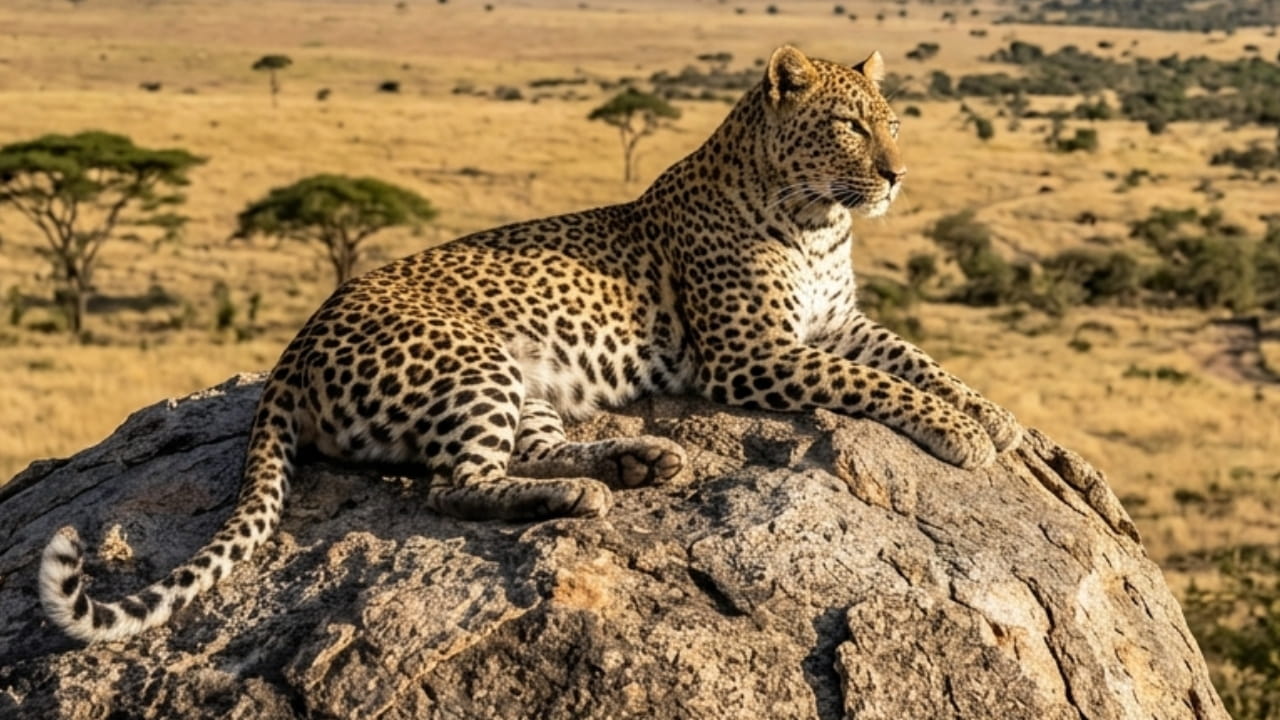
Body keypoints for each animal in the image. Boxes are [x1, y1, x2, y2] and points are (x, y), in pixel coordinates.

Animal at [39, 45, 1021, 643]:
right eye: (851, 125)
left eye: (894, 122)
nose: (898, 175)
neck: (819, 220)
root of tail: (297, 342)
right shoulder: (755, 352)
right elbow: (874, 384)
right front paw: (961, 434)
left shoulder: (837, 323)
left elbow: (917, 361)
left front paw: (996, 420)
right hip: (471, 362)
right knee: (456, 486)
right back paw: (588, 495)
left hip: (530, 382)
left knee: (527, 451)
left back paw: (636, 463)